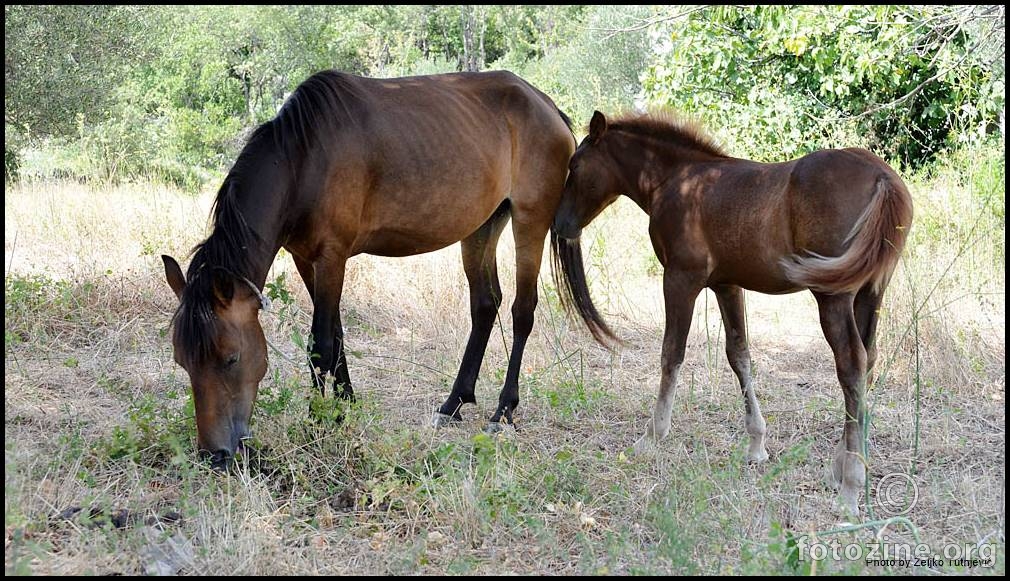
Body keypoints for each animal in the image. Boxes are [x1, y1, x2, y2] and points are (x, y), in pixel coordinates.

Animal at [160, 70, 573, 470]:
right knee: (485, 305)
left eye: (230, 358)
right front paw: (345, 407)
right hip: (481, 227)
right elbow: (337, 334)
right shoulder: (306, 260)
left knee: (522, 311)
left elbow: (321, 345)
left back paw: (503, 411)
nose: (213, 455)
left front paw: (318, 422)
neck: (303, 159)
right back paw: (453, 403)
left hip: (529, 222)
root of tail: (548, 106)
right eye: (182, 361)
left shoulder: (332, 257)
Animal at [553, 109, 917, 513]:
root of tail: (883, 177)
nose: (560, 223)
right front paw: (756, 443)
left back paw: (850, 488)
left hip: (833, 296)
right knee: (867, 361)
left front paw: (651, 436)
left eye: (574, 164)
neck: (675, 179)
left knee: (851, 365)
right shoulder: (728, 285)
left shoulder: (681, 277)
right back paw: (841, 468)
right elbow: (738, 354)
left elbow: (671, 354)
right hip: (870, 293)